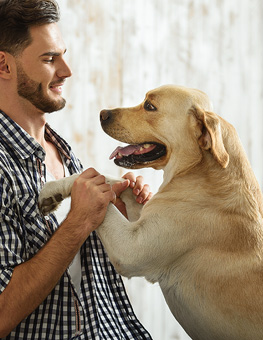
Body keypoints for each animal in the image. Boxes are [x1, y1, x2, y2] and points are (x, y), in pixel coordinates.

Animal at [38, 85, 263, 340]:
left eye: (149, 106)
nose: (103, 113)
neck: (199, 170)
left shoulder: (130, 247)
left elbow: (95, 186)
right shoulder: (145, 217)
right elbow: (112, 180)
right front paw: (52, 191)